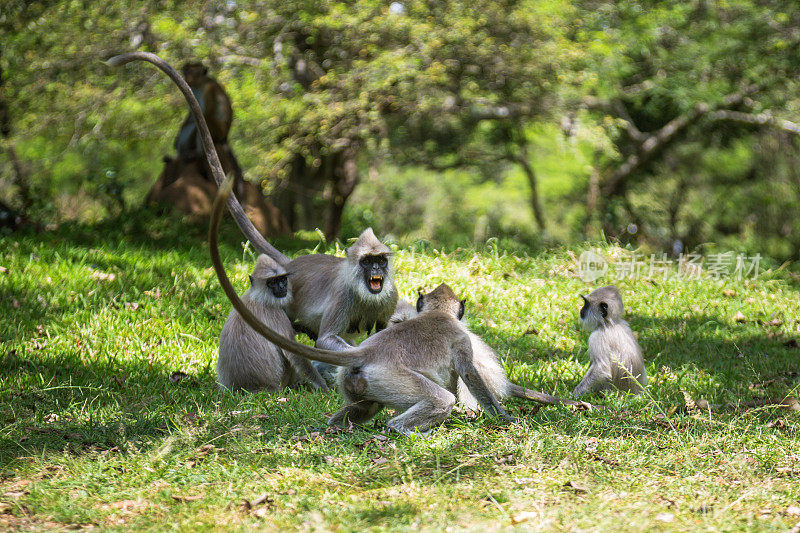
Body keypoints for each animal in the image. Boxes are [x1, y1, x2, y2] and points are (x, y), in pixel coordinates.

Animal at [108, 54, 400, 374]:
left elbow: (384, 327)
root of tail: (293, 264)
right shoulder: (344, 296)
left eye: (380, 260)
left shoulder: (390, 297)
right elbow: (328, 340)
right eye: (367, 262)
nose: (375, 269)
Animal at [217, 254, 326, 390]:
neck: (259, 298)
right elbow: (293, 353)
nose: (282, 287)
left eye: (282, 279)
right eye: (273, 282)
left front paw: (303, 328)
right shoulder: (275, 313)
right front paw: (324, 387)